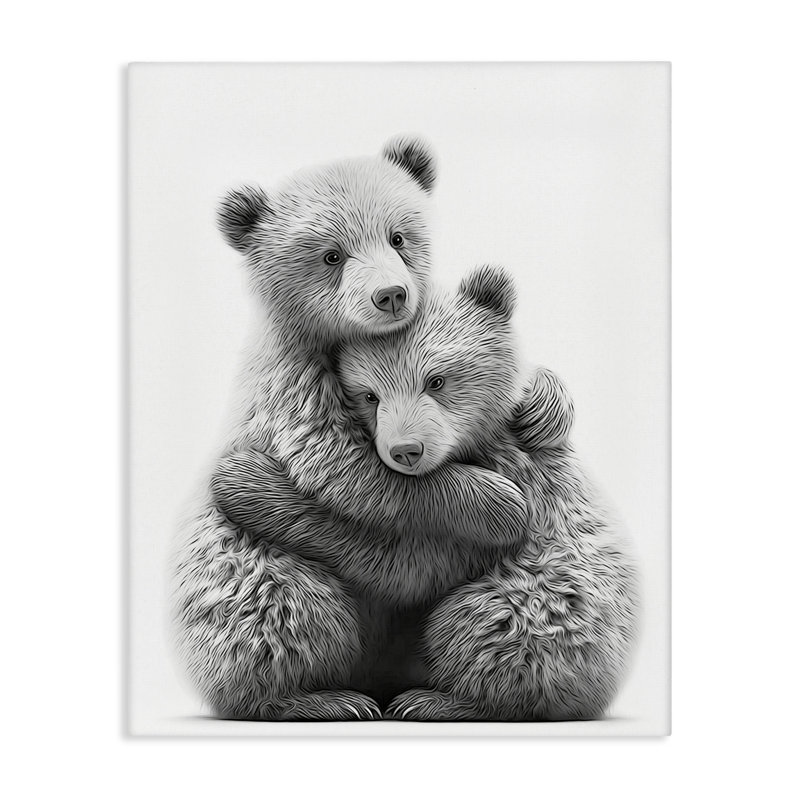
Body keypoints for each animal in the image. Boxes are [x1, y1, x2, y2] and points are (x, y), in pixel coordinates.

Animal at [171, 138, 538, 721]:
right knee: (290, 608)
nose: (391, 294)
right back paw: (325, 698)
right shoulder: (293, 385)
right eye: (331, 255)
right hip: (249, 572)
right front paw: (496, 502)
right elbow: (347, 472)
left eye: (398, 236)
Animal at [212, 264, 638, 721]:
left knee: (488, 623)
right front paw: (241, 477)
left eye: (436, 379)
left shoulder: (522, 486)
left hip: (546, 605)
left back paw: (433, 699)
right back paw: (327, 698)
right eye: (369, 395)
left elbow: (407, 561)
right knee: (290, 604)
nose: (406, 450)